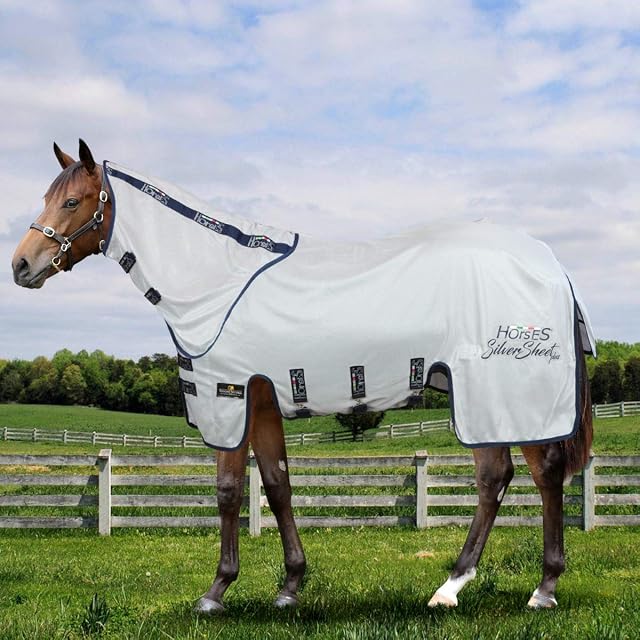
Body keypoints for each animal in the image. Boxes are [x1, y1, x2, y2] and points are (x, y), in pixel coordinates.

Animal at [12, 139, 593, 613]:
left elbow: (228, 491)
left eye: (72, 202)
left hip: (502, 396)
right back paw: (463, 586)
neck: (215, 280)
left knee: (535, 475)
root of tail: (550, 264)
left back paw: (532, 589)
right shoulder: (263, 401)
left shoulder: (228, 397)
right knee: (501, 477)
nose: (21, 265)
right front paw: (289, 587)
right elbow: (277, 485)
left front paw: (215, 593)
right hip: (489, 403)